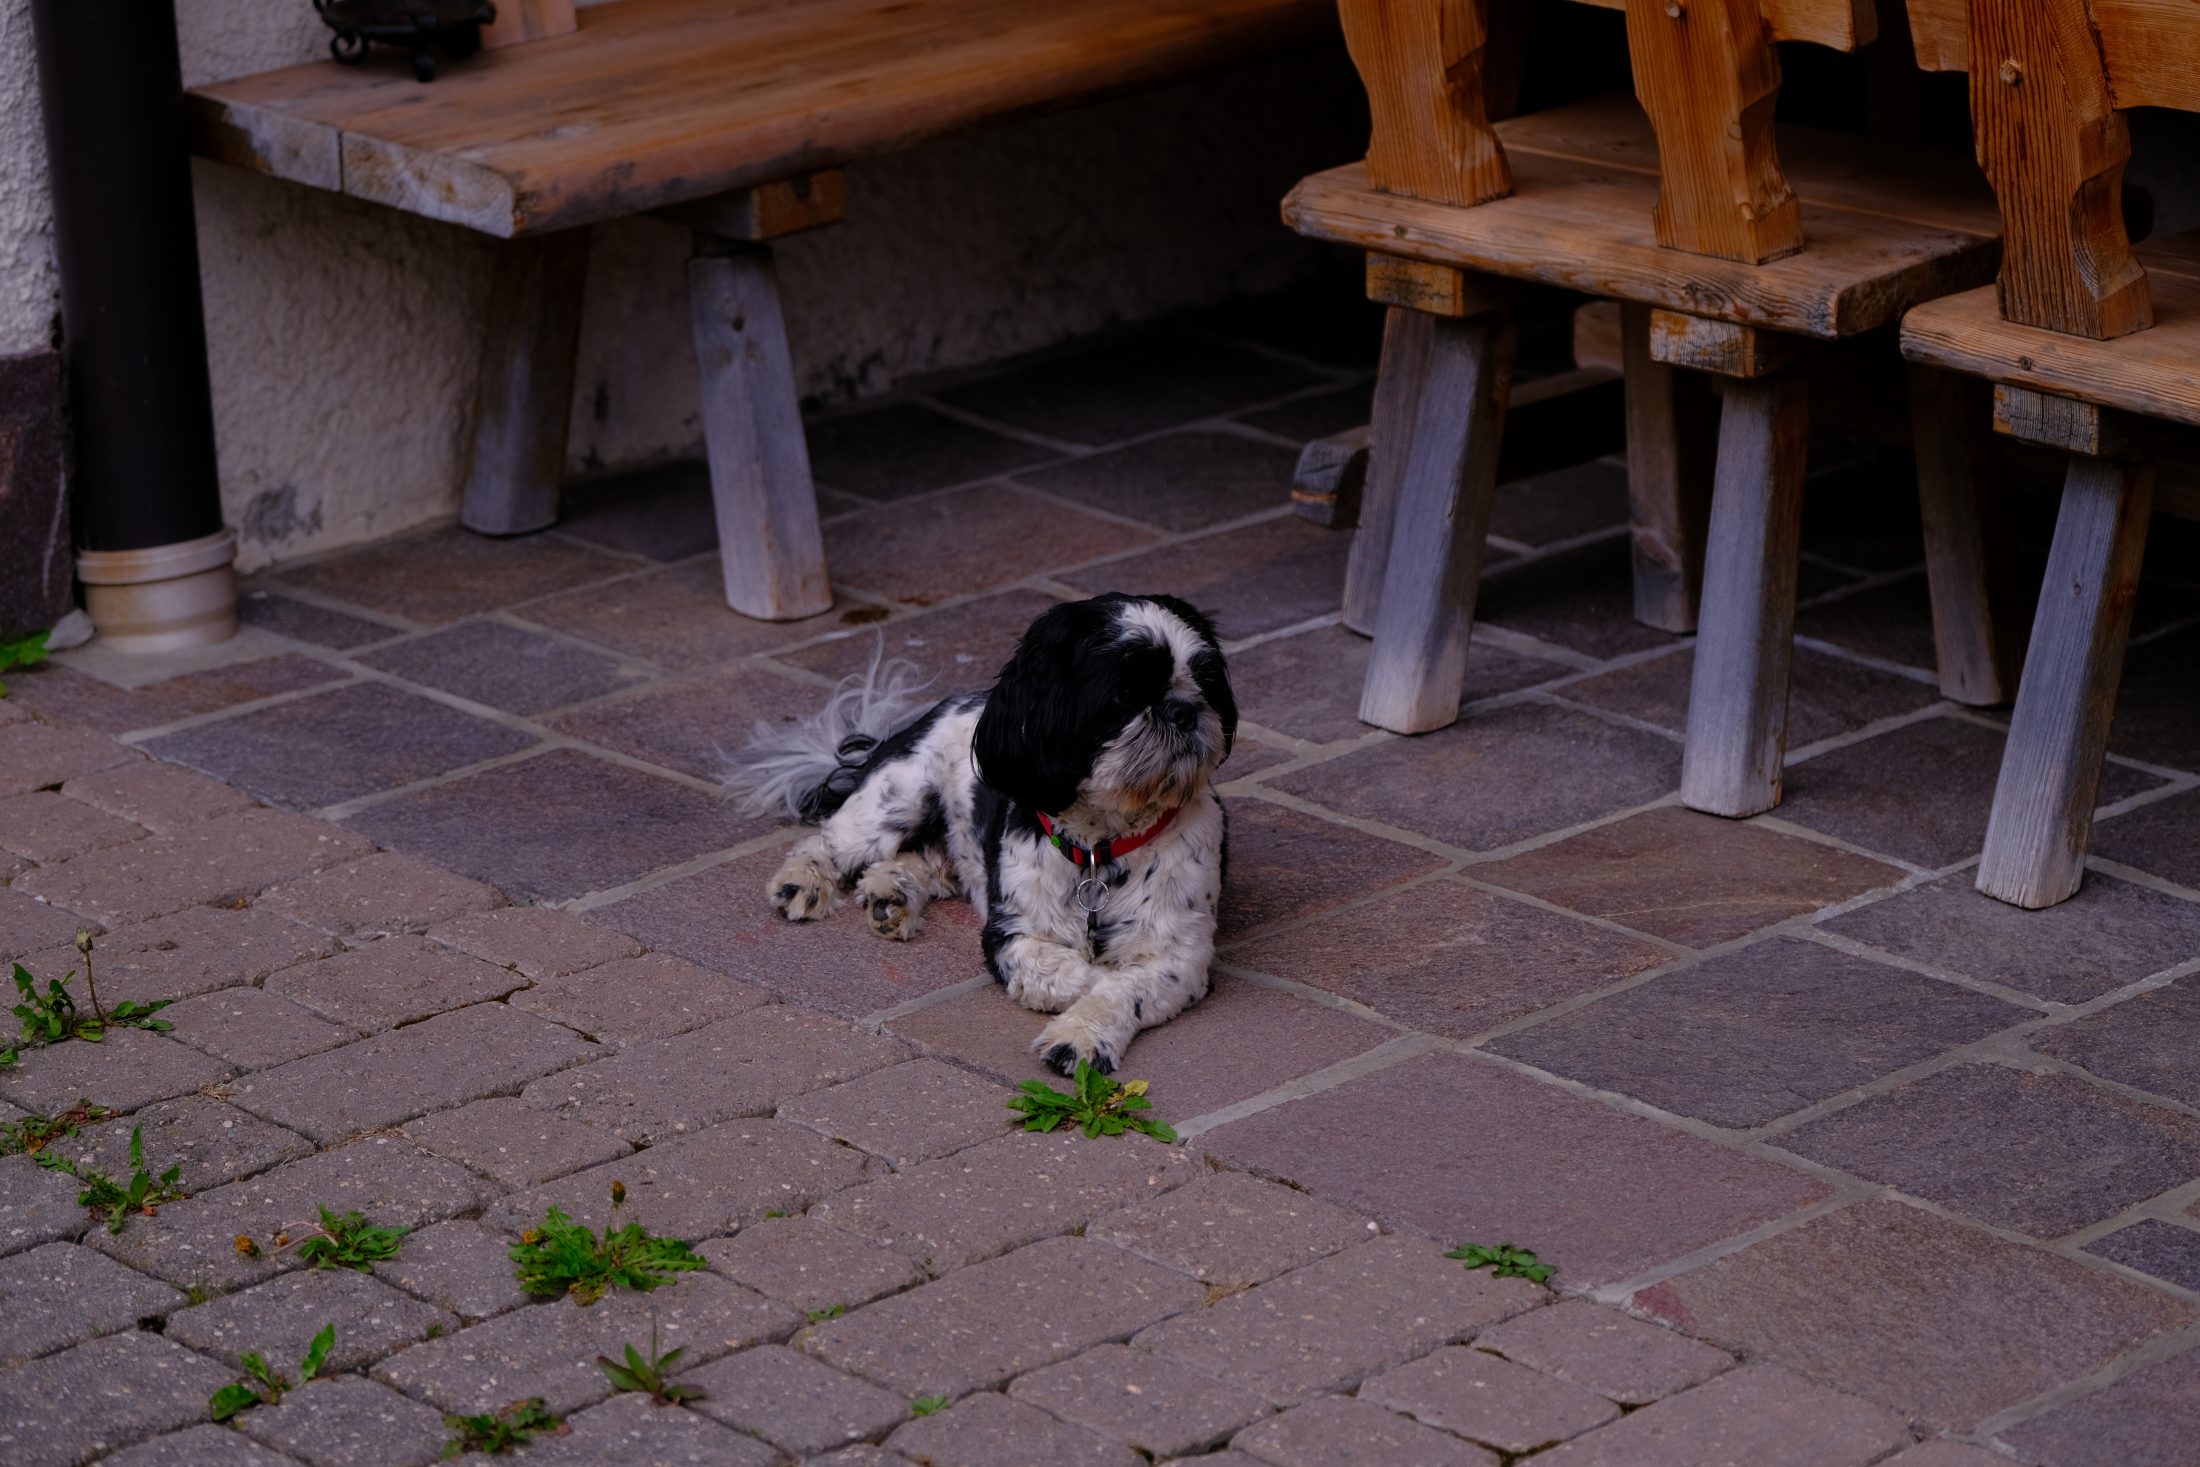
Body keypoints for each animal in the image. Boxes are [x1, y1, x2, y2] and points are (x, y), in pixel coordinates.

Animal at [728, 594, 1237, 1075]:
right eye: (1126, 693)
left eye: (1207, 682)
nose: (1184, 710)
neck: (1101, 847)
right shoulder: (1011, 933)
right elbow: (1072, 973)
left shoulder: (1178, 952)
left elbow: (1123, 986)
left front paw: (1079, 1038)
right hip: (897, 798)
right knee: (829, 840)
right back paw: (803, 882)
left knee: (925, 860)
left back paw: (891, 893)